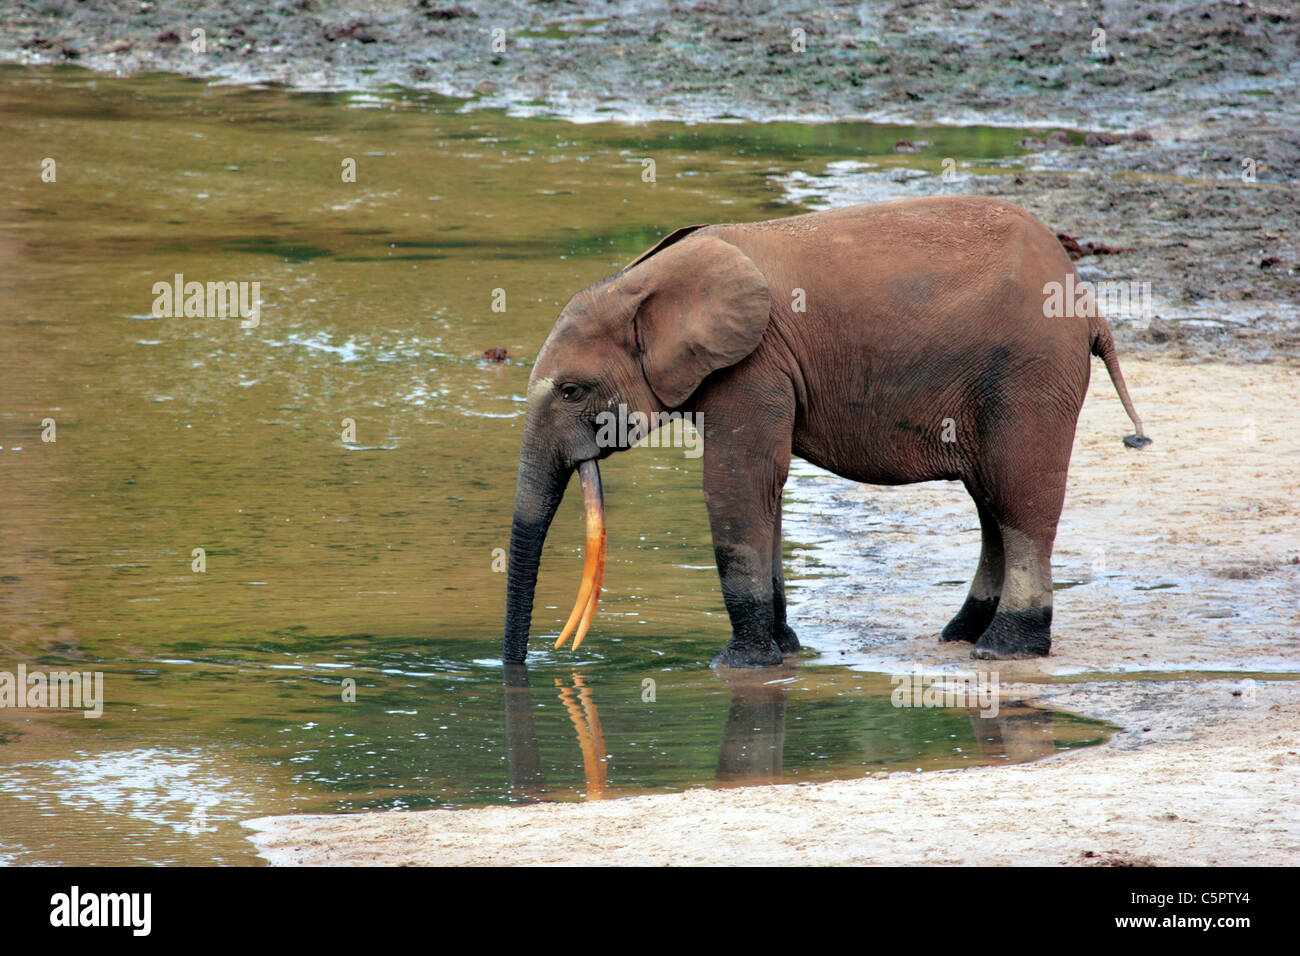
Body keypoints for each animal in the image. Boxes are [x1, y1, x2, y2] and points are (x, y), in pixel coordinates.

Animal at [502, 196, 1150, 668]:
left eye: (572, 391)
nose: (526, 665)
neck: (641, 280)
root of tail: (1087, 300)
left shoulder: (755, 362)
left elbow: (740, 482)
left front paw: (738, 665)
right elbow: (765, 489)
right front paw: (784, 652)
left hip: (1030, 373)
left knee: (1020, 497)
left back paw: (1003, 649)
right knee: (992, 502)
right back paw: (960, 636)